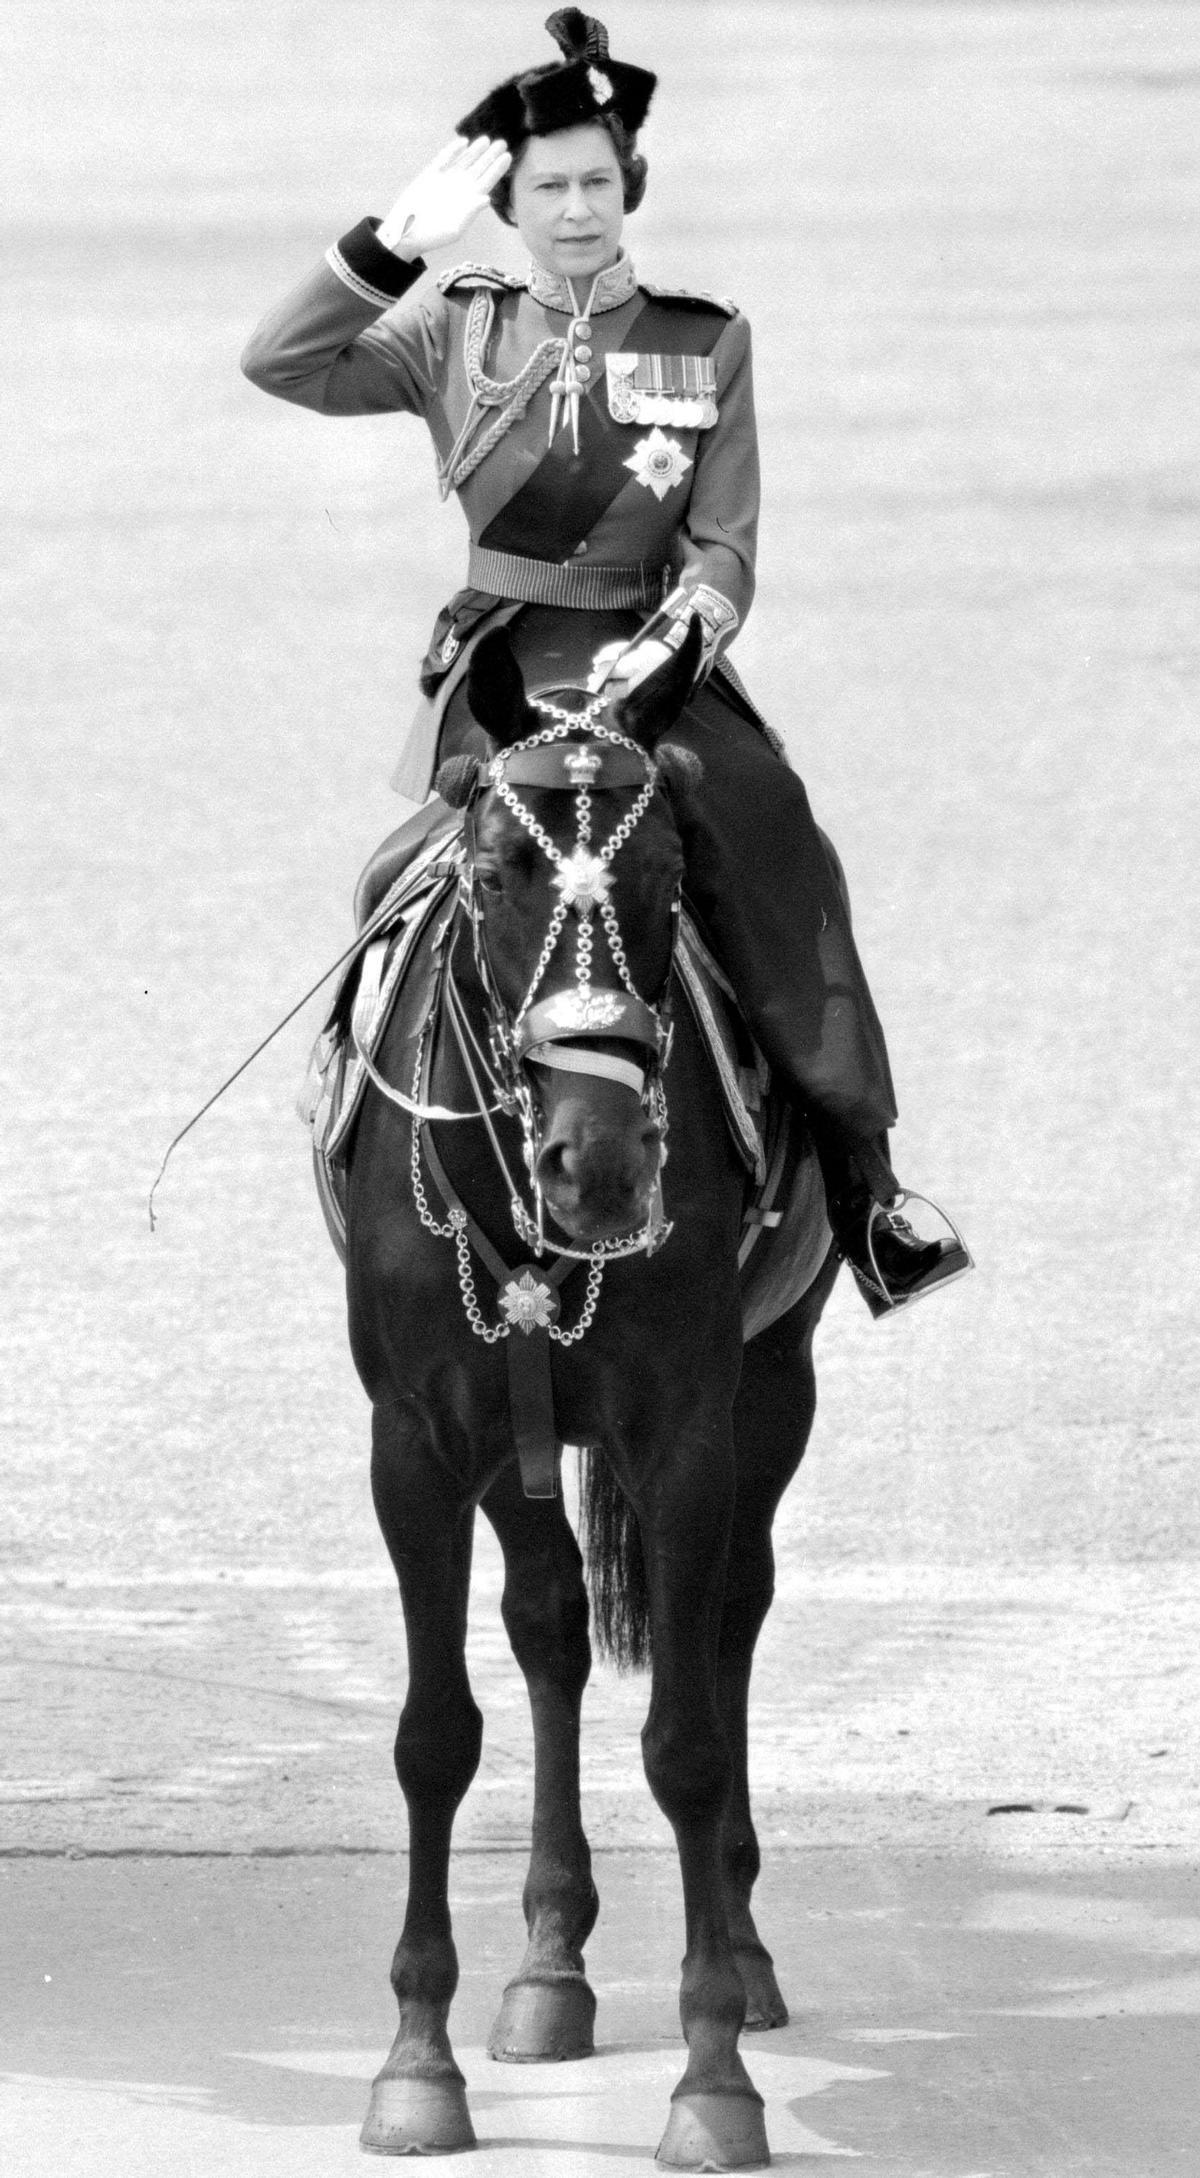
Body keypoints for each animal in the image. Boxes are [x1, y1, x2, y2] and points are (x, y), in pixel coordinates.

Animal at [341, 622, 840, 2169]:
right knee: (551, 1623)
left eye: (674, 870)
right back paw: (549, 1966)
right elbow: (435, 1736)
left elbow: (685, 1739)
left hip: (773, 1385)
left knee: (729, 1614)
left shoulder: (684, 1431)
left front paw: (713, 2077)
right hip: (516, 1427)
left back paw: (740, 1949)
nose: (603, 1164)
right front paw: (417, 2062)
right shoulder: (419, 1440)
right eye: (501, 865)